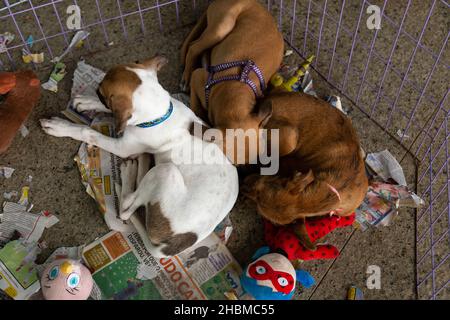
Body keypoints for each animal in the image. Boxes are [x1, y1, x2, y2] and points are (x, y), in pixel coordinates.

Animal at [39, 56, 239, 258]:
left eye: (102, 90)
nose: (95, 89)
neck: (162, 113)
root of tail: (173, 246)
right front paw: (88, 102)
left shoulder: (123, 147)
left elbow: (87, 131)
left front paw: (61, 127)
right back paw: (142, 162)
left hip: (166, 171)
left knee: (126, 209)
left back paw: (130, 171)